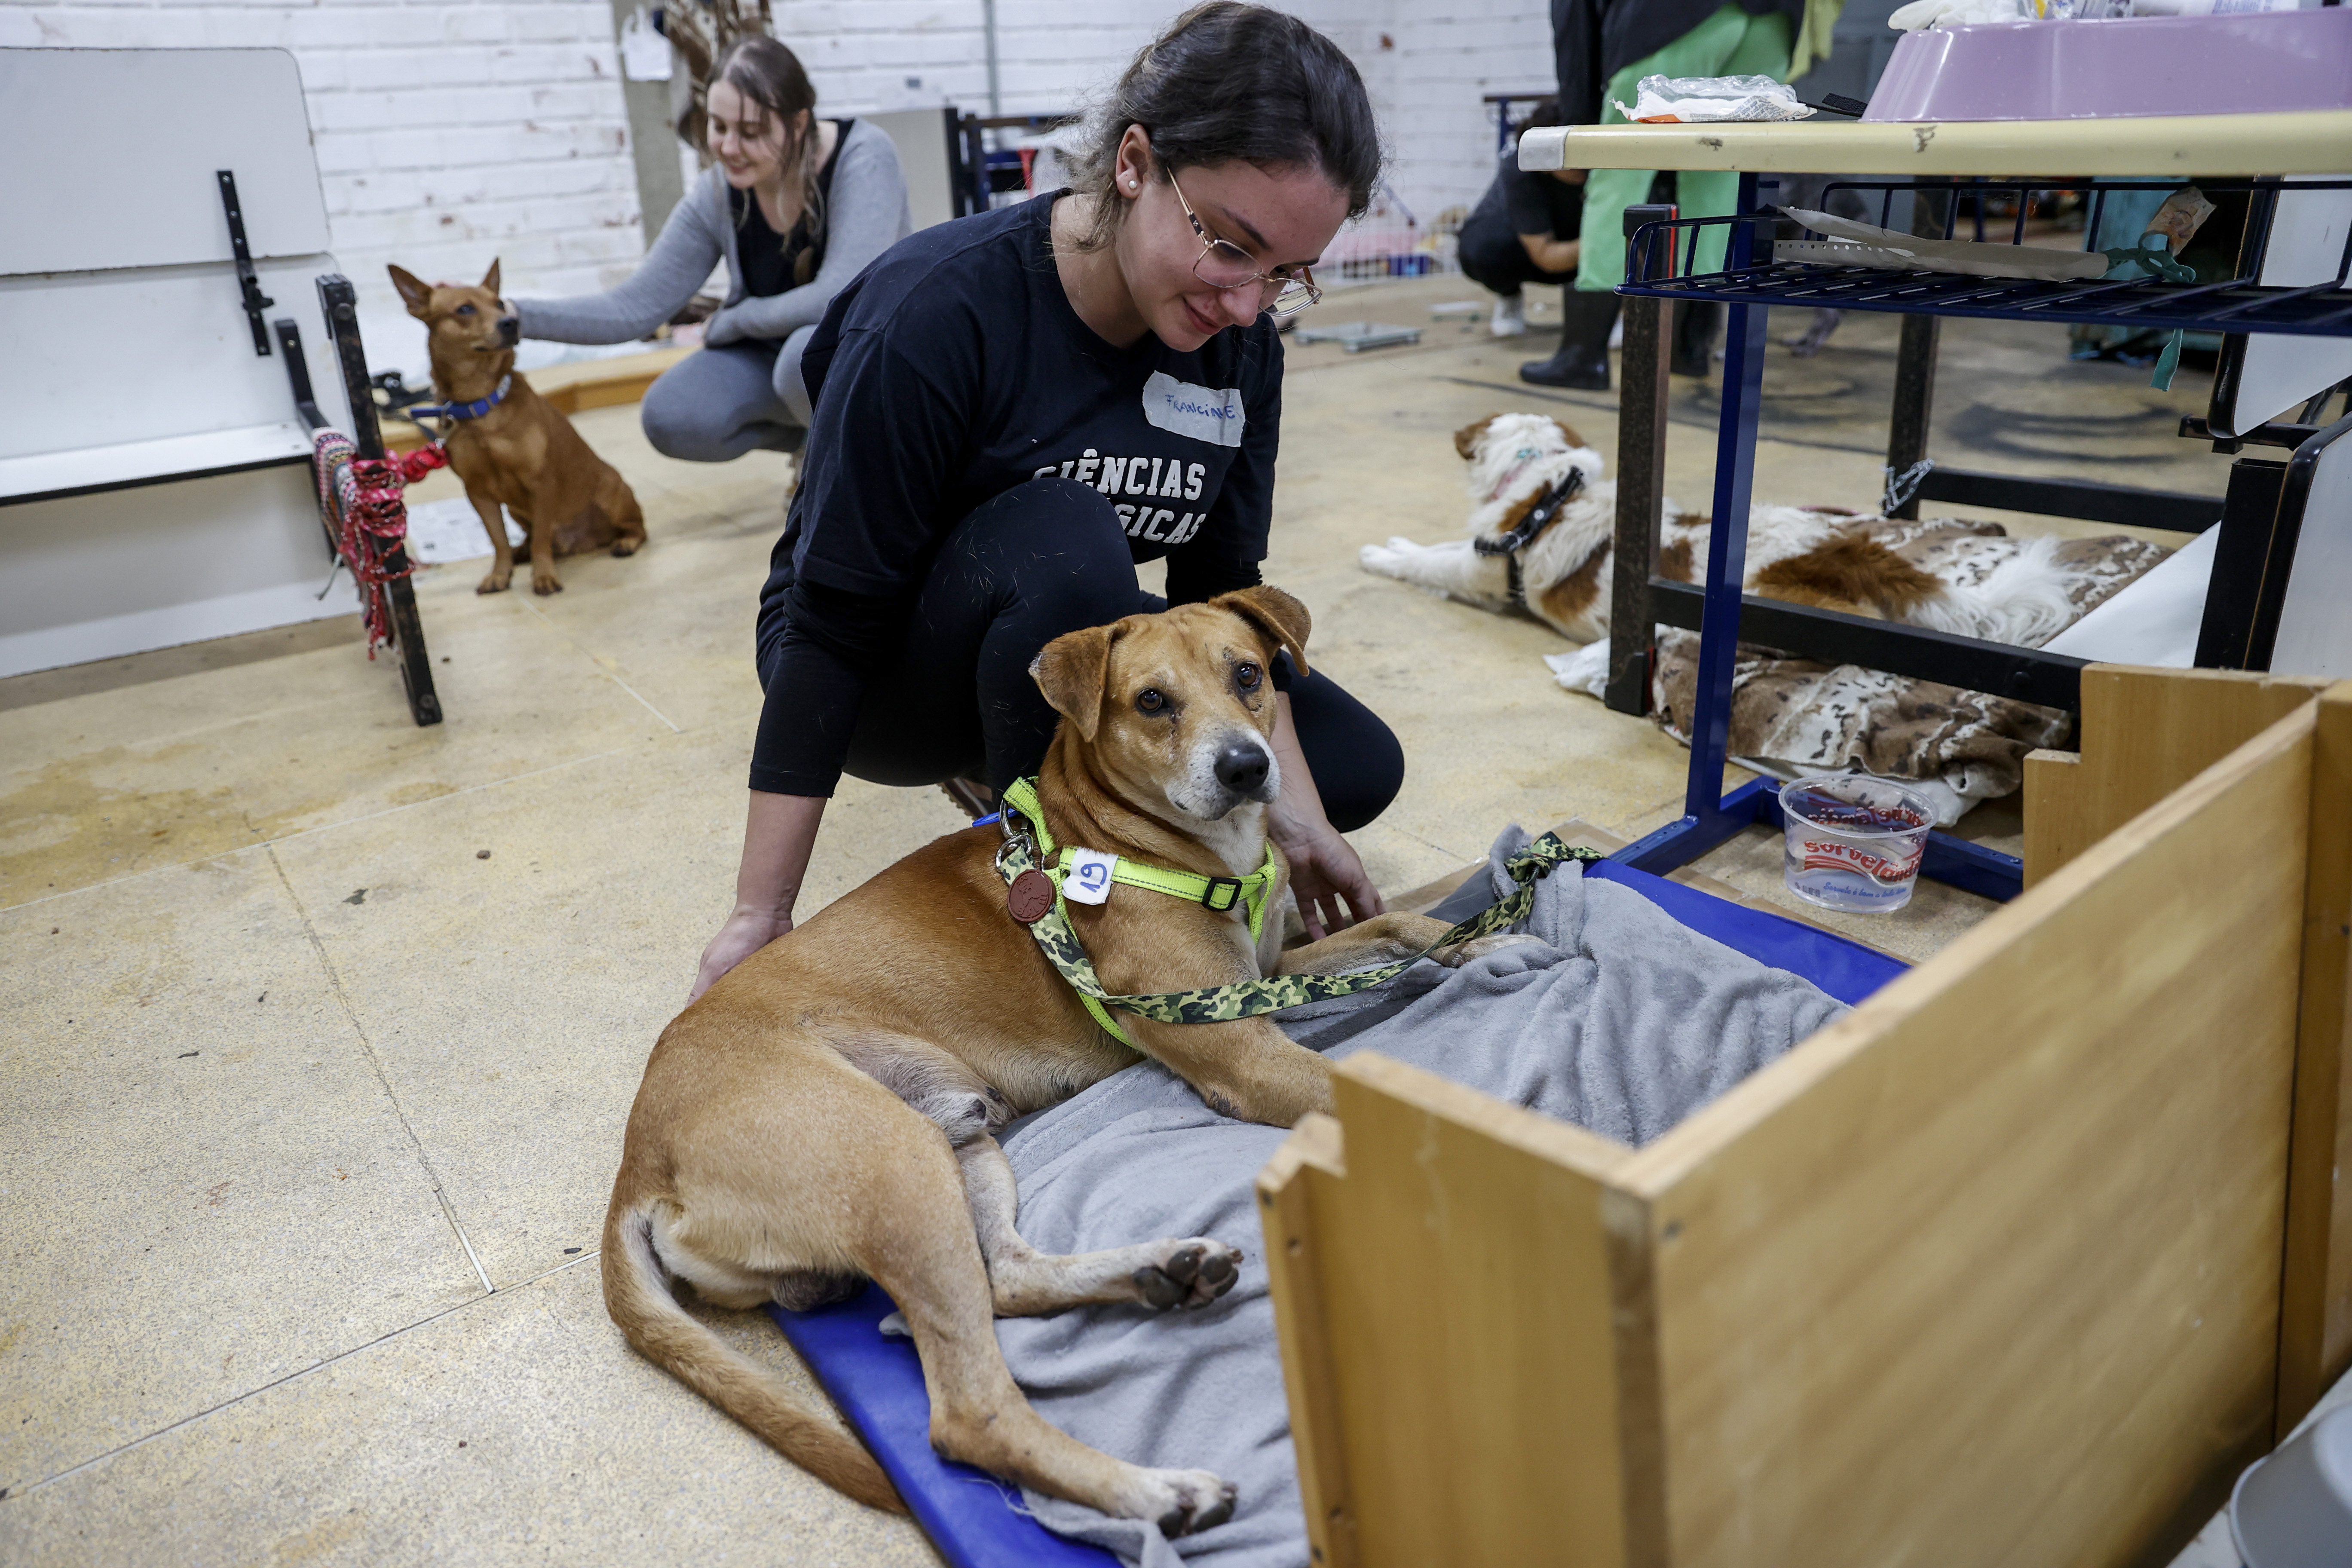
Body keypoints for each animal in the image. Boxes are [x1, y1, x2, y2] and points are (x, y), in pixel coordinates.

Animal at [386, 263, 644, 594]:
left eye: (499, 304)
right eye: (465, 309)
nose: (511, 322)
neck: (480, 405)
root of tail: (584, 543)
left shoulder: (540, 484)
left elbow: (542, 539)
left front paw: (544, 576)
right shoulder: (478, 493)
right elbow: (498, 540)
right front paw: (500, 574)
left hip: (613, 494)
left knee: (635, 527)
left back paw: (626, 542)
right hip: (515, 511)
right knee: (528, 537)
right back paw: (521, 551)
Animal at [606, 588, 1524, 1532]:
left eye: (1248, 675)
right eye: (1152, 701)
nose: (1245, 767)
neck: (1160, 848)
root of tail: (640, 1160)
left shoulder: (1264, 975)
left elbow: (1394, 926)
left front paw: (1486, 937)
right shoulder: (1241, 1048)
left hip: (959, 1137)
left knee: (1007, 1281)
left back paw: (1163, 1271)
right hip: (894, 1164)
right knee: (970, 1412)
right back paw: (1159, 1491)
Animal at [1373, 413, 2089, 653]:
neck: (1547, 488)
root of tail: (1834, 546)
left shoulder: (1482, 573)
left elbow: (1428, 564)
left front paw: (1382, 554)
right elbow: (1435, 549)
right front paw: (1398, 544)